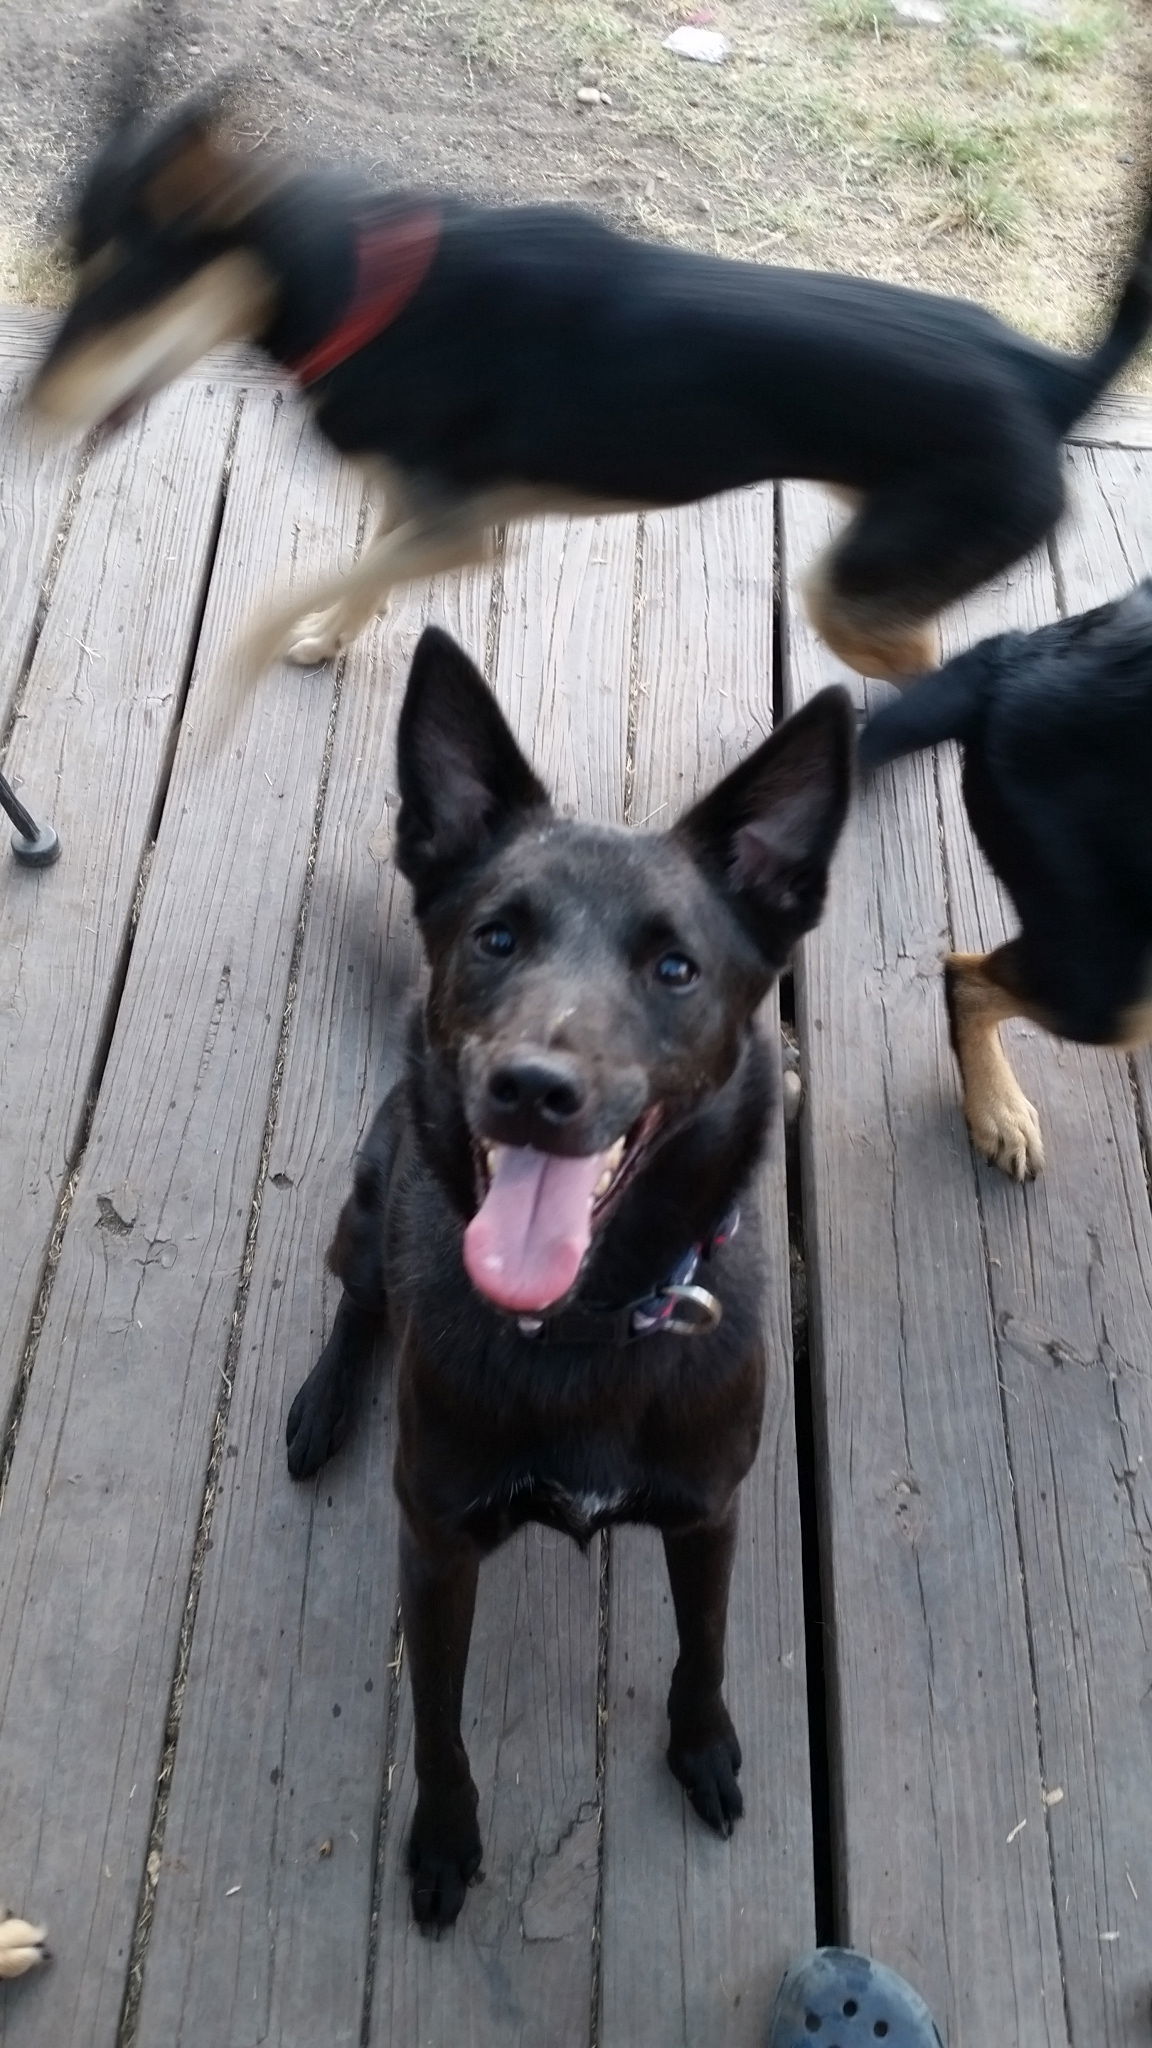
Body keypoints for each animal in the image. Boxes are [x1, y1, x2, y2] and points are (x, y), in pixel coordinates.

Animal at [22, 86, 1147, 696]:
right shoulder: (411, 501)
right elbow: (359, 577)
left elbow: (286, 593)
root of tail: (1048, 376)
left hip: (856, 589)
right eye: (69, 270)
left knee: (945, 660)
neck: (359, 285)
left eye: (117, 295)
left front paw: (254, 662)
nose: (22, 416)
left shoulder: (467, 536)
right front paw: (327, 639)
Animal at [282, 626, 848, 1933]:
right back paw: (325, 1401)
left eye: (675, 966)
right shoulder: (436, 1545)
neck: (585, 1325)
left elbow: (705, 1648)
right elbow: (438, 1723)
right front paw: (445, 1839)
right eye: (497, 936)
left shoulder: (707, 1513)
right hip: (366, 1200)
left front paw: (701, 1746)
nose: (535, 1088)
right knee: (358, 1299)